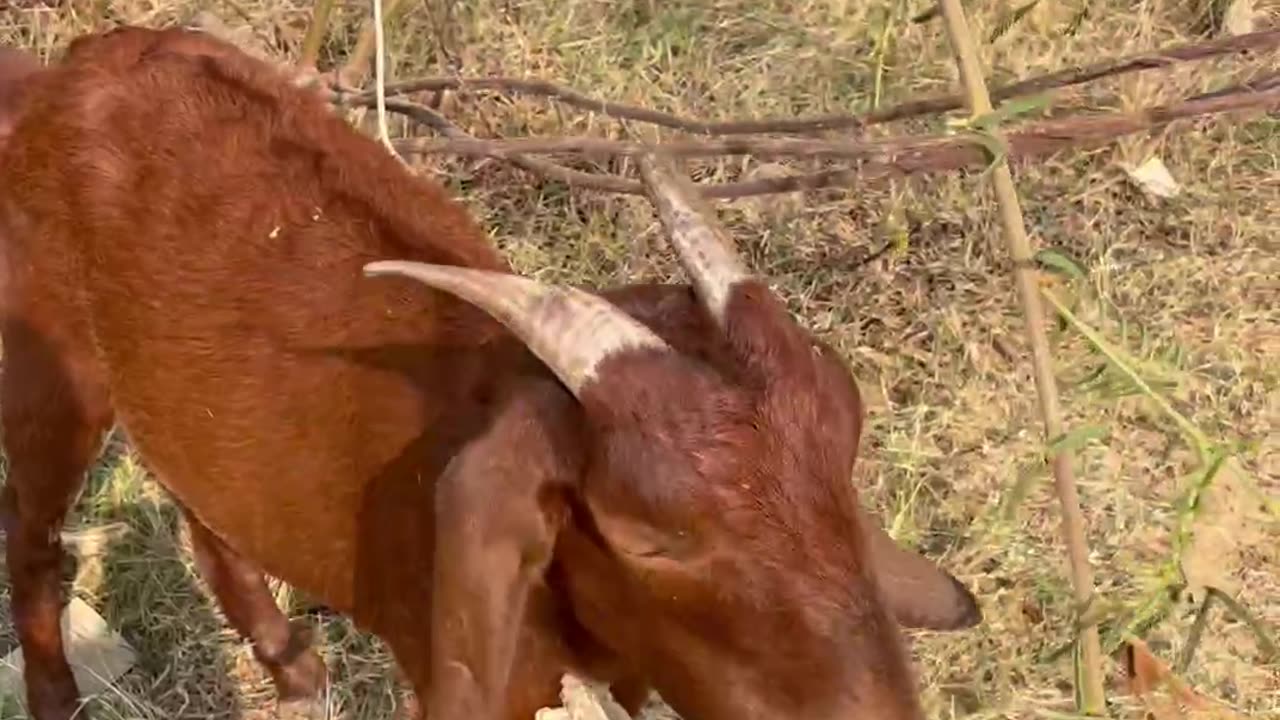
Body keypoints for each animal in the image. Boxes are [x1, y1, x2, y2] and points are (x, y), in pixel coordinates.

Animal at [0, 25, 977, 717]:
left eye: (844, 463)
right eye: (644, 537)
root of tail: (63, 74)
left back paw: (290, 664)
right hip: (56, 376)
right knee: (34, 534)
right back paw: (57, 701)